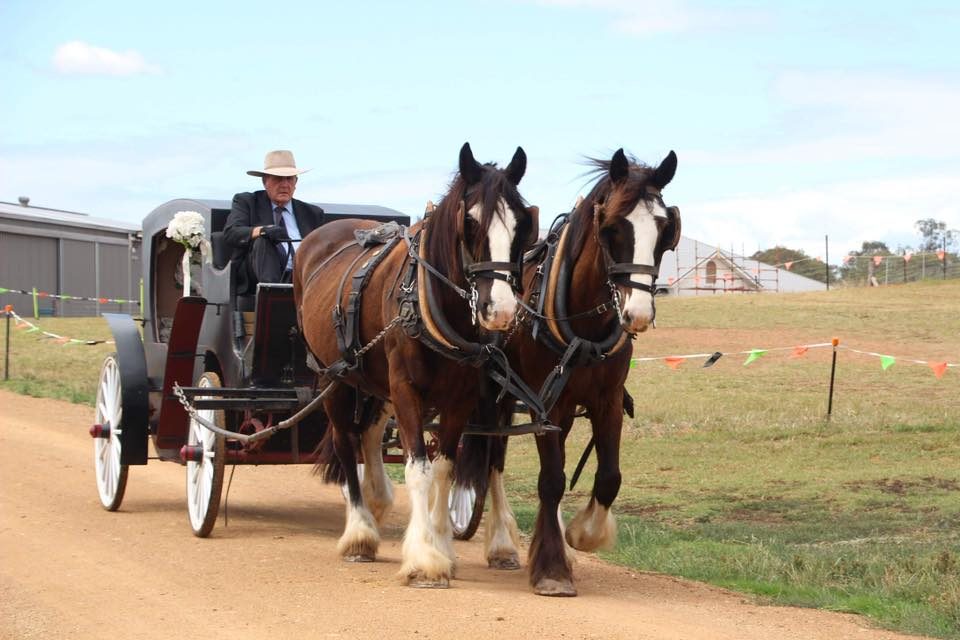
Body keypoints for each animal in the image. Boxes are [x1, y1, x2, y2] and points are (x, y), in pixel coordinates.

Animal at [293, 142, 537, 588]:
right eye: (470, 222)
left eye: (522, 224)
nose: (500, 311)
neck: (432, 302)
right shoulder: (406, 388)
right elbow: (418, 469)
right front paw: (424, 559)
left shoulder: (460, 398)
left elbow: (442, 468)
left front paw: (440, 546)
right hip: (332, 378)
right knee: (345, 440)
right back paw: (359, 533)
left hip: (371, 381)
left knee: (369, 434)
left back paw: (376, 501)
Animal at [460, 148, 680, 596]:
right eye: (611, 228)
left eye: (665, 230)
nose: (638, 313)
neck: (583, 325)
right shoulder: (547, 405)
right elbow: (551, 480)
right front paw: (552, 568)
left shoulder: (605, 402)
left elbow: (608, 477)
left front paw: (580, 536)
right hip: (490, 396)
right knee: (490, 459)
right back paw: (498, 542)